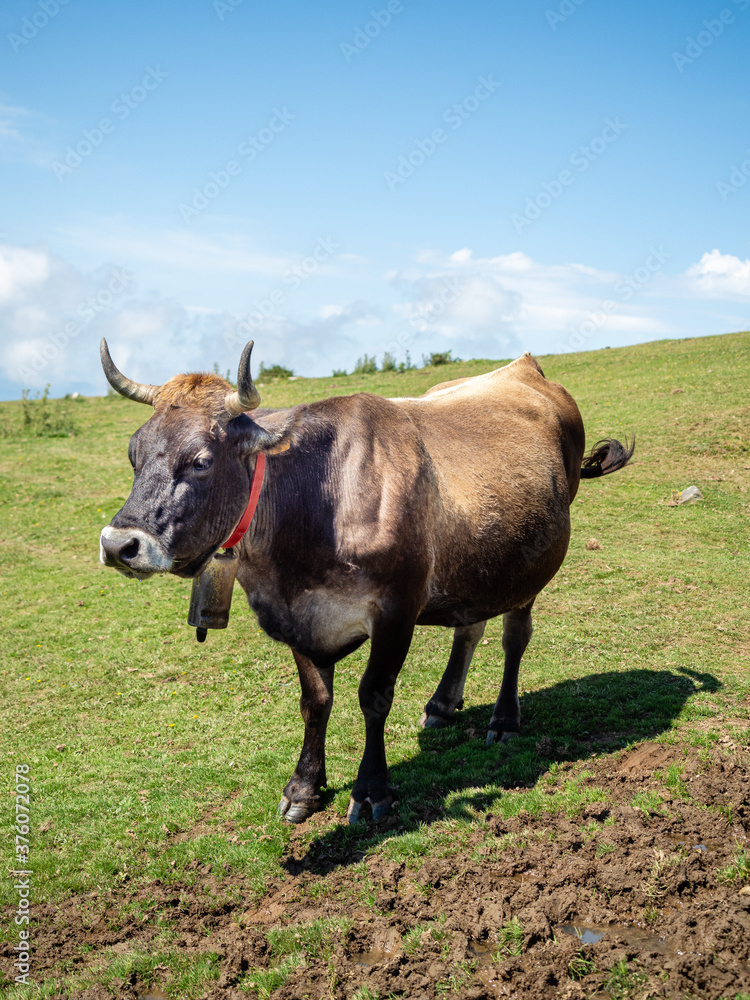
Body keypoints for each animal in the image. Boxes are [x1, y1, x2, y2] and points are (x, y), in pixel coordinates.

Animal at [99, 338, 633, 824]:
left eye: (201, 460)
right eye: (132, 453)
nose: (118, 544)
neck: (317, 503)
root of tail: (524, 367)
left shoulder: (397, 609)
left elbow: (374, 696)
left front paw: (373, 791)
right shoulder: (296, 618)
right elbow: (315, 702)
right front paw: (304, 787)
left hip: (530, 566)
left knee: (514, 636)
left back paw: (504, 719)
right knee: (470, 626)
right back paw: (443, 705)